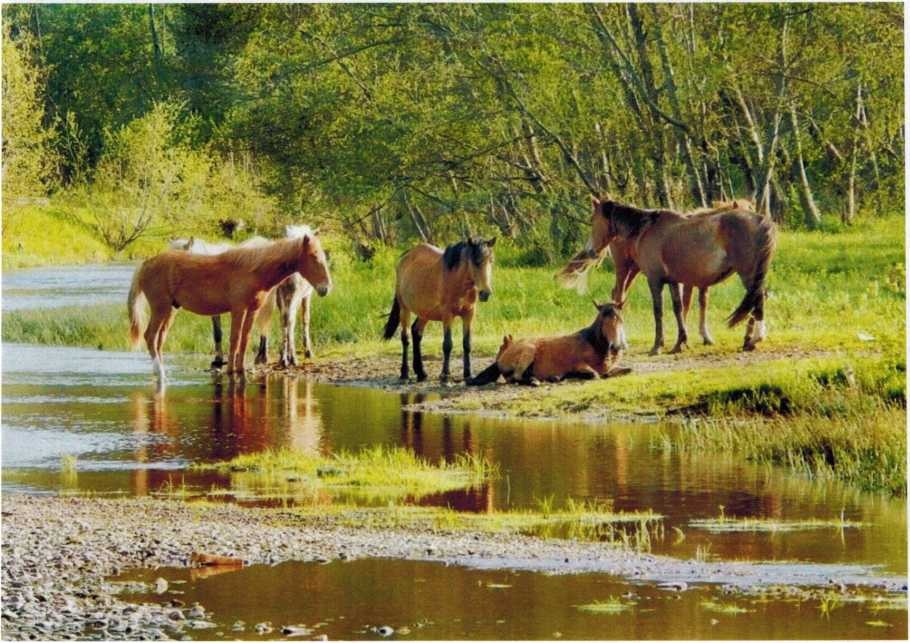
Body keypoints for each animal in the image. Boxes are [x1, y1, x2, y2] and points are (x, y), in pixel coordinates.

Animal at [130, 233, 334, 380]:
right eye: (314, 256)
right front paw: (230, 370)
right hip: (161, 308)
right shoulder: (238, 309)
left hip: (170, 310)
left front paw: (240, 369)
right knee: (150, 336)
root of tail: (146, 264)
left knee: (159, 339)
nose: (325, 288)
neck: (253, 270)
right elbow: (234, 339)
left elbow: (245, 339)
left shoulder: (252, 311)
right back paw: (160, 374)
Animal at [384, 239, 498, 384]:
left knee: (416, 332)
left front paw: (468, 374)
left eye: (491, 260)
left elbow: (467, 343)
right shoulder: (447, 315)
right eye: (476, 262)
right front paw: (445, 375)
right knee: (406, 338)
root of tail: (405, 257)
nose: (486, 293)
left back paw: (421, 373)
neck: (457, 281)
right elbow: (447, 344)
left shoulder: (469, 314)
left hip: (424, 313)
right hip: (405, 309)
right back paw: (404, 374)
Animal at [466, 304, 632, 388]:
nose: (617, 345)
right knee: (515, 377)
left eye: (620, 319)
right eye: (604, 318)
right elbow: (595, 375)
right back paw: (538, 381)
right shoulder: (581, 366)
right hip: (529, 349)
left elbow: (626, 371)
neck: (593, 344)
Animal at [560, 199, 780, 354]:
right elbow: (678, 308)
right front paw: (680, 342)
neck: (645, 229)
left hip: (749, 274)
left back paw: (755, 339)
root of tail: (760, 220)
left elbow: (659, 311)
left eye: (592, 220)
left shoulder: (655, 280)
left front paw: (658, 345)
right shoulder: (674, 281)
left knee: (758, 299)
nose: (590, 251)